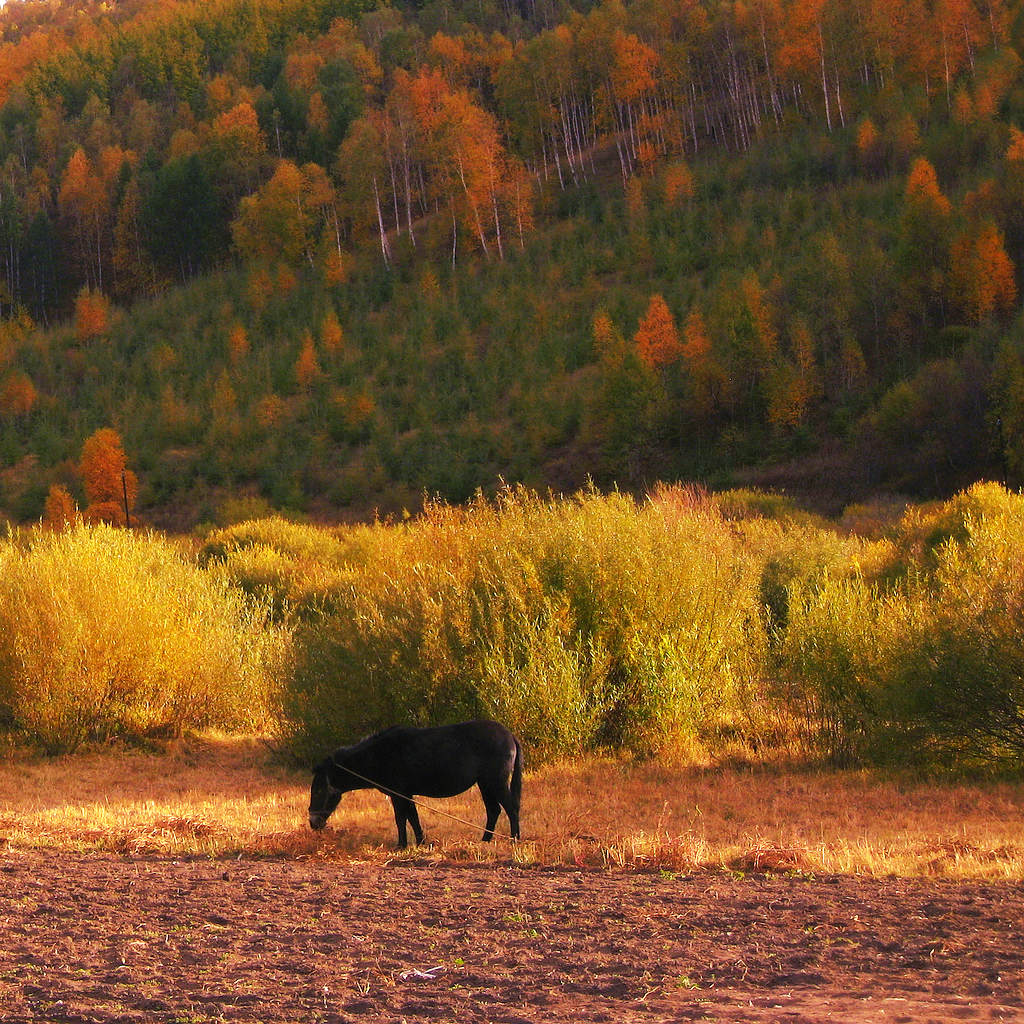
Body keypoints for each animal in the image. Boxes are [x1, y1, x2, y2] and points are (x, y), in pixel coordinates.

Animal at [307, 716, 524, 843]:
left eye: (318, 790)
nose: (313, 823)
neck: (379, 754)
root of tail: (510, 735)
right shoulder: (405, 793)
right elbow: (413, 817)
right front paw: (421, 842)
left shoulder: (398, 794)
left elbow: (401, 819)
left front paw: (401, 845)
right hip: (485, 784)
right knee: (494, 810)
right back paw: (485, 840)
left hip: (496, 782)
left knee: (511, 809)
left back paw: (514, 840)